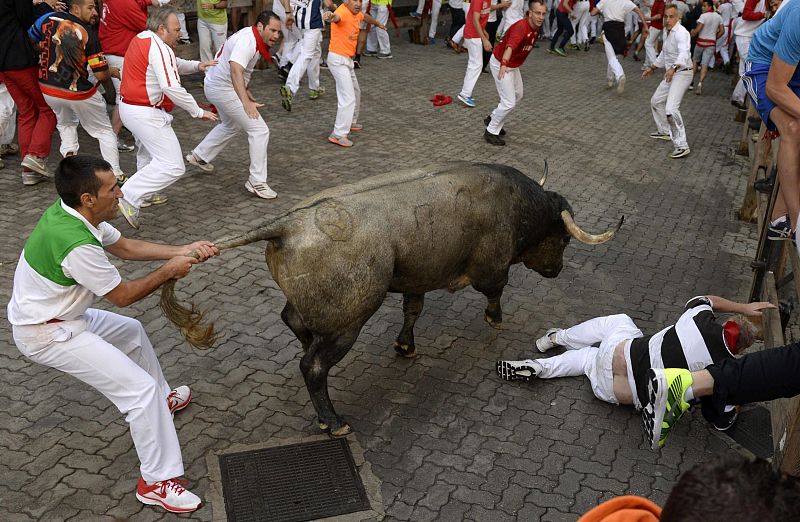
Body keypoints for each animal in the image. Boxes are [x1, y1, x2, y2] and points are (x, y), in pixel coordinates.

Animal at [164, 161, 624, 434]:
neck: (512, 202)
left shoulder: (418, 275)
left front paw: (406, 345)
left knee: (294, 321)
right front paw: (495, 318)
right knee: (313, 366)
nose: (557, 270)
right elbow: (495, 290)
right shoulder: (491, 268)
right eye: (563, 238)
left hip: (318, 308)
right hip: (349, 321)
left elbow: (413, 309)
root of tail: (287, 225)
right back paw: (332, 420)